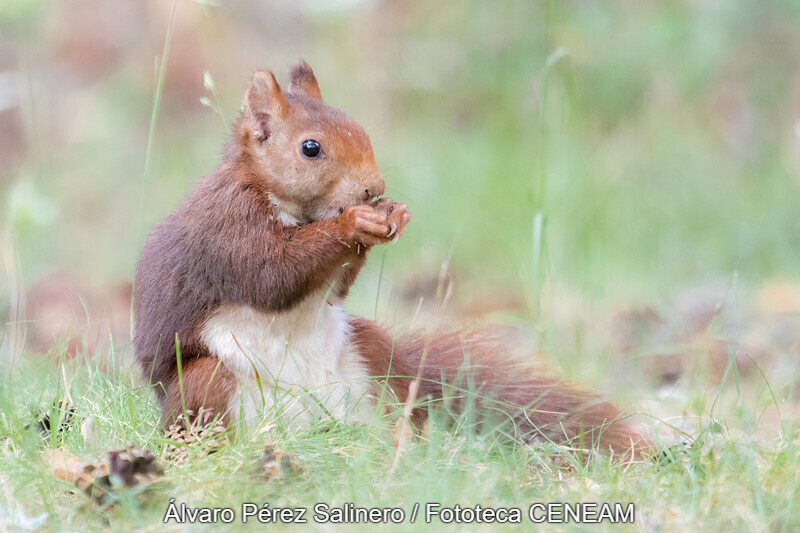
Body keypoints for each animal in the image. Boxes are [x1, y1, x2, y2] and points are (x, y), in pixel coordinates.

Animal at [134, 59, 652, 458]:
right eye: (310, 148)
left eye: (362, 131)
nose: (374, 189)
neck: (293, 208)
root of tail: (302, 427)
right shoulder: (227, 228)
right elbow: (272, 275)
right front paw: (352, 225)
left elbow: (333, 288)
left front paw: (394, 215)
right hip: (206, 383)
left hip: (371, 352)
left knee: (393, 406)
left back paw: (409, 442)